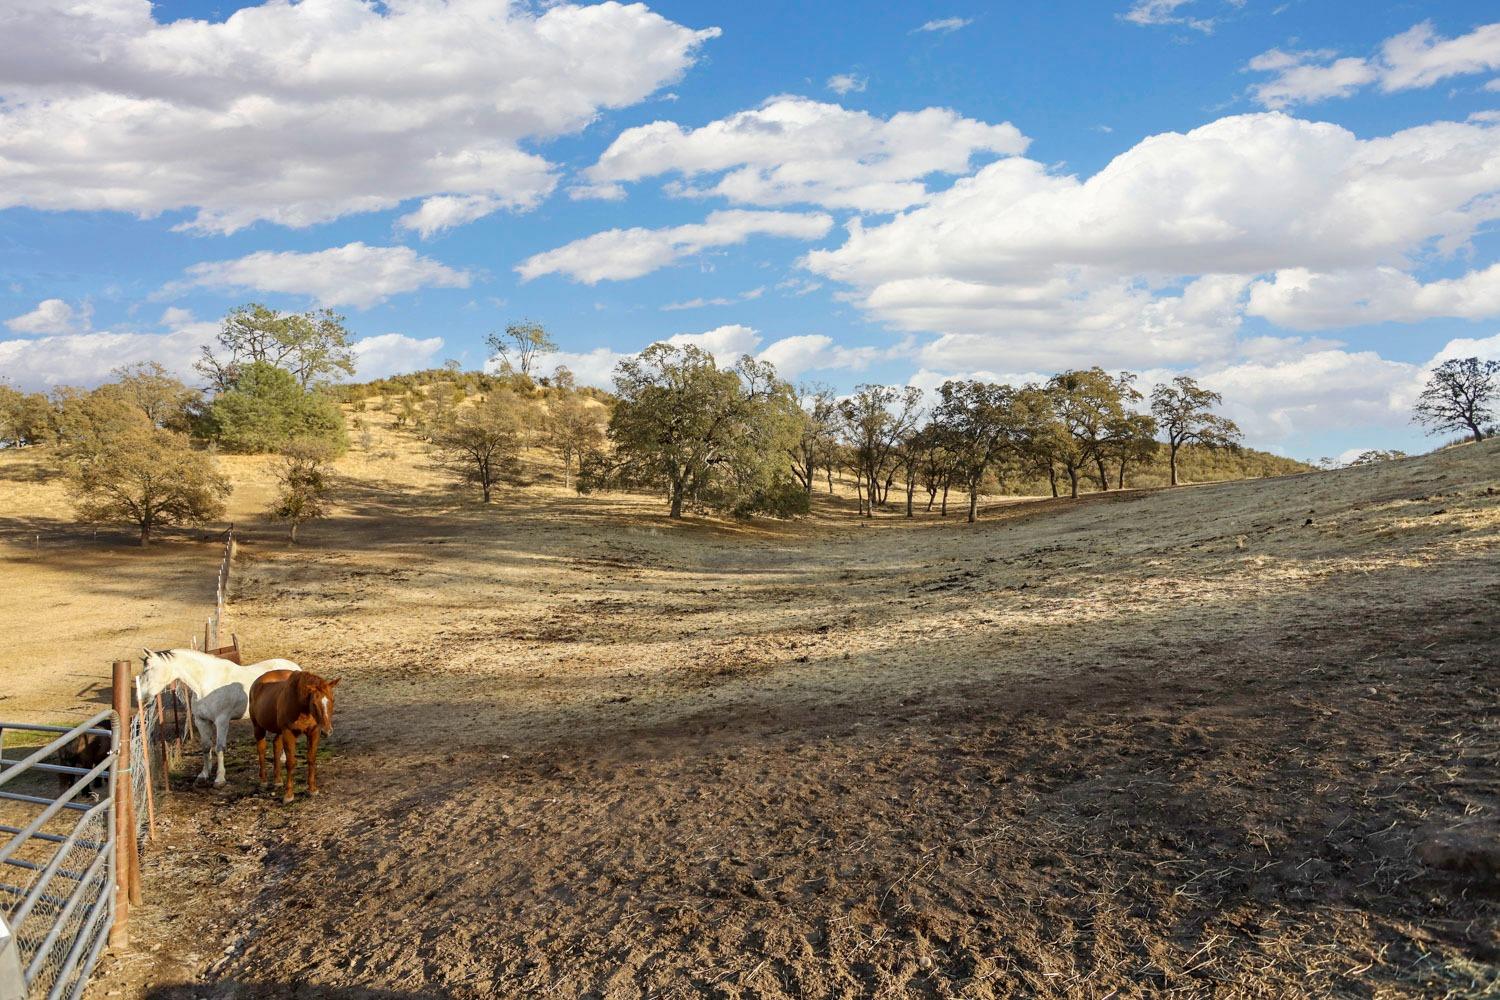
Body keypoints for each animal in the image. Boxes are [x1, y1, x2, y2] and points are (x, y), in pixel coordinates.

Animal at [141, 650, 301, 791]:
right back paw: (282, 758)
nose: (143, 699)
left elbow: (219, 747)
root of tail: (296, 670)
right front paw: (203, 776)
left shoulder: (222, 721)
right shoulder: (201, 721)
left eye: (150, 669)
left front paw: (219, 779)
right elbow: (206, 746)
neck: (206, 682)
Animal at [252, 671, 340, 803]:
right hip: (258, 727)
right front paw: (288, 795)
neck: (301, 706)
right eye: (314, 703)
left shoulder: (314, 731)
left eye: (333, 700)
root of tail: (257, 682)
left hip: (279, 731)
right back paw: (263, 781)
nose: (327, 731)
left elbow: (311, 759)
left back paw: (278, 780)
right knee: (261, 750)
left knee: (276, 746)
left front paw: (312, 789)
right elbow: (290, 763)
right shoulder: (288, 732)